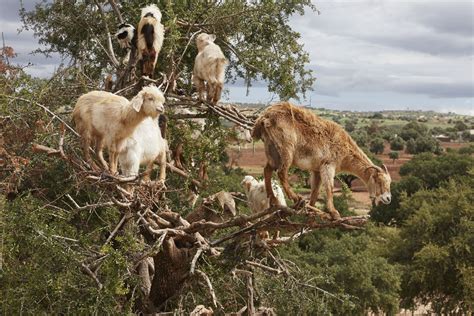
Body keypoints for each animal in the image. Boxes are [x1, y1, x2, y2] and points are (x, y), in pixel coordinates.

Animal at [252, 102, 392, 220]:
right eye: (379, 181)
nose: (388, 198)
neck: (346, 150)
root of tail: (265, 117)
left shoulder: (316, 169)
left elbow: (315, 190)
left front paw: (311, 210)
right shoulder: (328, 165)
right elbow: (329, 188)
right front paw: (334, 212)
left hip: (272, 150)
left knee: (267, 170)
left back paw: (274, 199)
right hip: (286, 148)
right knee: (281, 172)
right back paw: (295, 198)